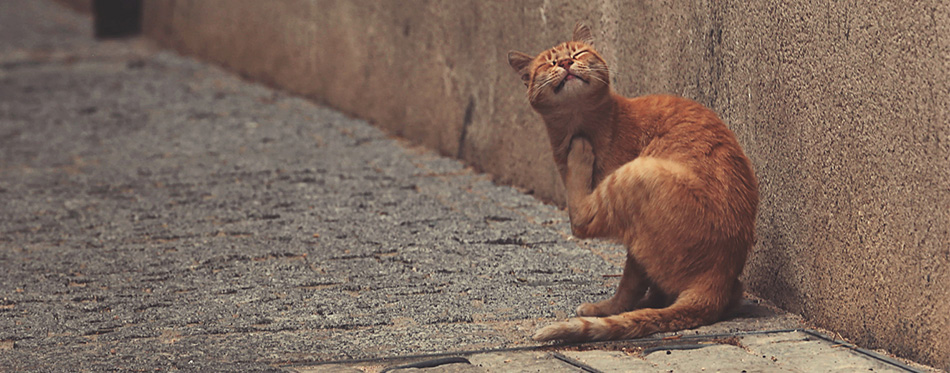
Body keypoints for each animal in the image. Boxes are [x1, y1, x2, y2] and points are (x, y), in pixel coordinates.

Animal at [510, 23, 764, 342]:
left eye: (577, 53)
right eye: (550, 62)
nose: (566, 63)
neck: (579, 123)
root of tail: (717, 278)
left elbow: (628, 279)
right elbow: (635, 280)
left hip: (639, 171)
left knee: (581, 222)